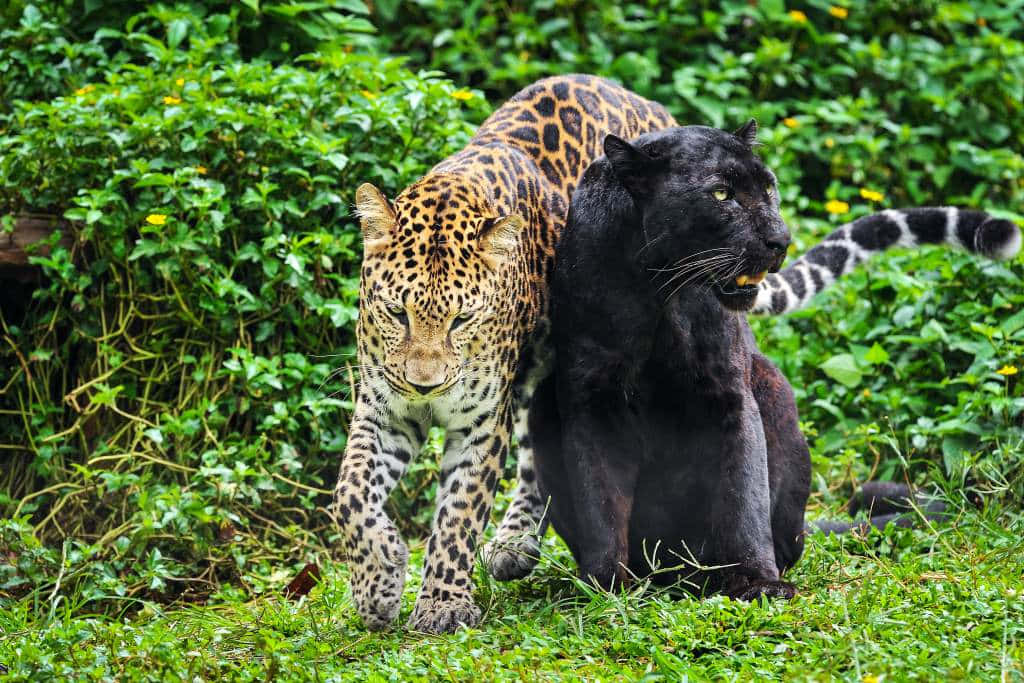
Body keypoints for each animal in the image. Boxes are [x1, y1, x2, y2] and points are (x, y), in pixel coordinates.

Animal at [329, 76, 671, 634]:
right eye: (398, 313)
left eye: (462, 320)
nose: (425, 385)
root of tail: (641, 98)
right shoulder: (385, 410)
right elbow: (350, 492)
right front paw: (378, 581)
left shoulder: (482, 421)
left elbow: (459, 513)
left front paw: (443, 604)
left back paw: (516, 543)